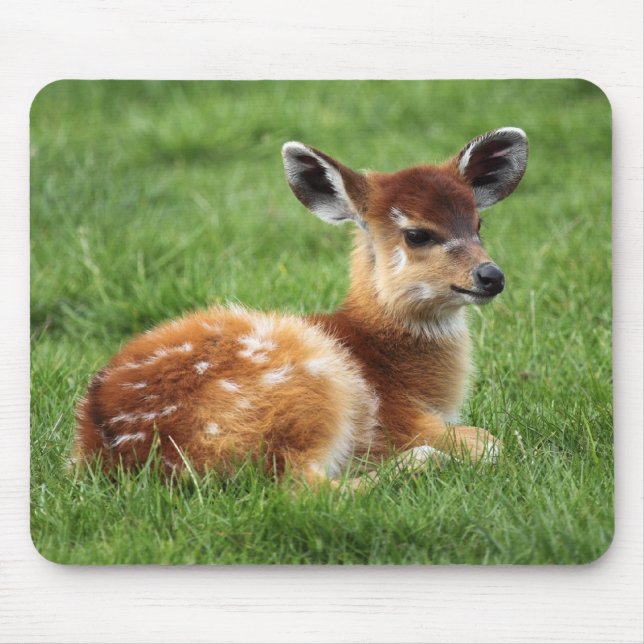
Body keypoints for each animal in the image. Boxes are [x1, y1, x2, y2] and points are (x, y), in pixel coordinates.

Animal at [73, 127, 528, 487]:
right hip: (312, 389)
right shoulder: (401, 420)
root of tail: (112, 454)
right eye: (417, 234)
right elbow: (492, 441)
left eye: (478, 225)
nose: (491, 275)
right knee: (304, 486)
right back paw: (420, 462)